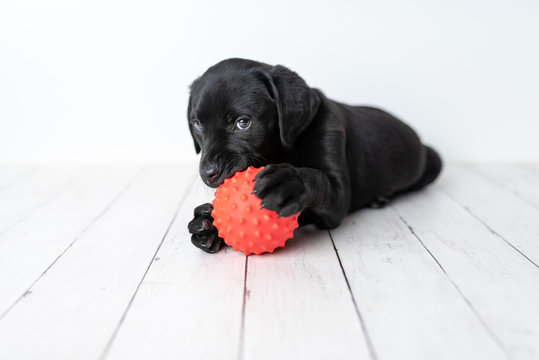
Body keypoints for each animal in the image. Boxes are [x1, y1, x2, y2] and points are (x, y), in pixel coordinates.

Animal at [188, 58, 440, 253]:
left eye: (243, 123)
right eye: (198, 125)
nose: (209, 173)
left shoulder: (337, 198)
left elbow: (319, 181)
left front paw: (290, 183)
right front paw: (209, 225)